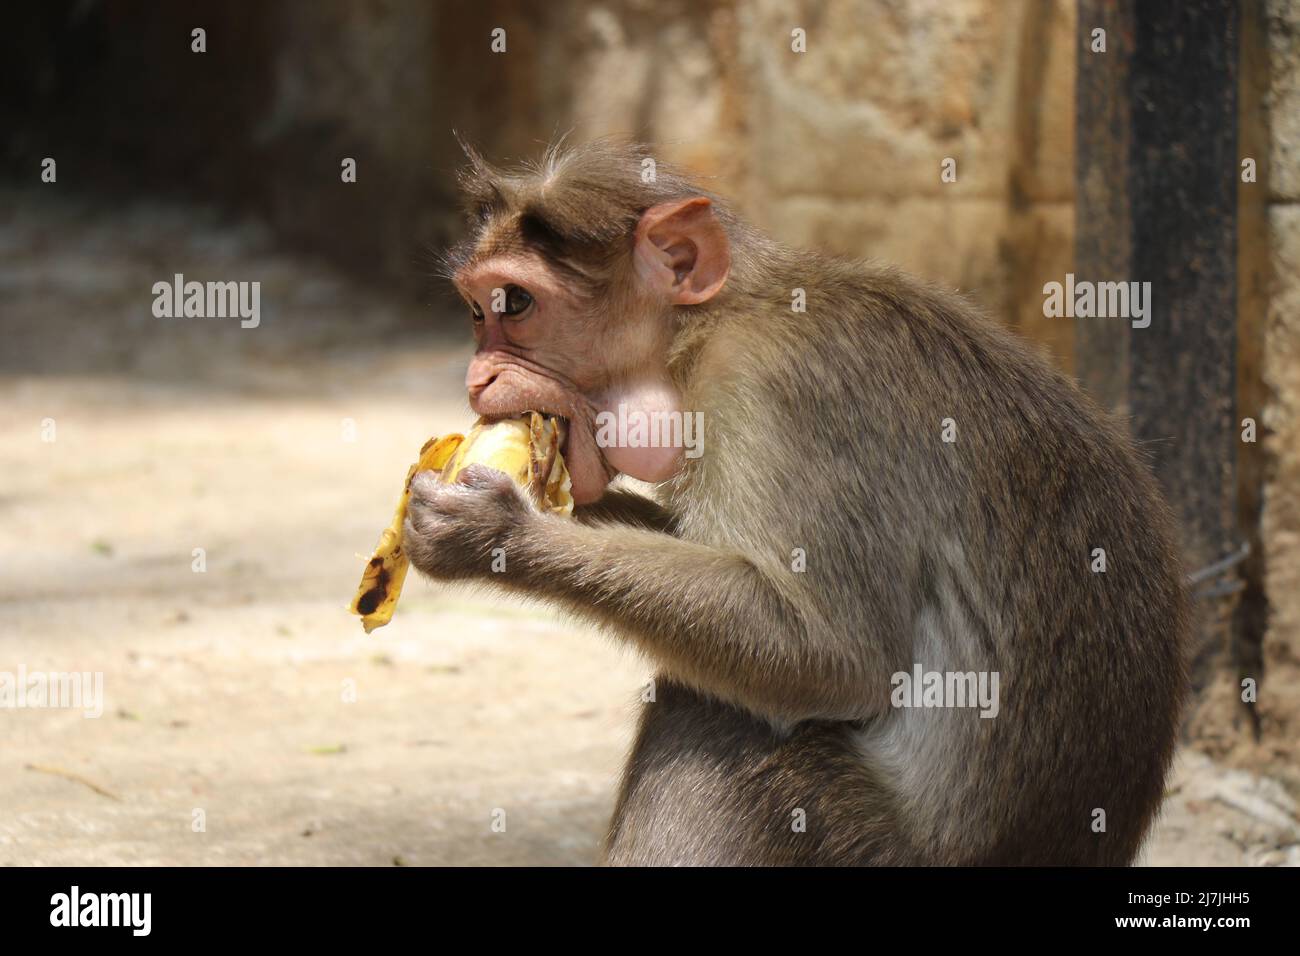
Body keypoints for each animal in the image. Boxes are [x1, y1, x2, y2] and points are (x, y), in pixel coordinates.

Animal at [403, 139, 1190, 866]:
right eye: (476, 311)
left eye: (515, 305)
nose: (476, 381)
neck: (704, 332)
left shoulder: (779, 392)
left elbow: (831, 653)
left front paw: (498, 534)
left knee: (714, 713)